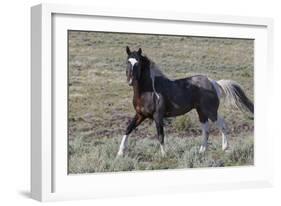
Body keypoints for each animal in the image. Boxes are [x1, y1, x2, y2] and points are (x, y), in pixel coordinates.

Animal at [117, 46, 253, 156]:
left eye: (138, 62)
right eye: (127, 61)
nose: (130, 80)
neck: (149, 91)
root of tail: (213, 82)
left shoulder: (158, 116)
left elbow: (160, 135)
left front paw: (164, 155)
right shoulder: (140, 115)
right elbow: (128, 129)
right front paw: (120, 153)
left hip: (210, 111)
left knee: (222, 125)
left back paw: (224, 148)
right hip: (201, 112)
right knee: (206, 129)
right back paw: (202, 151)